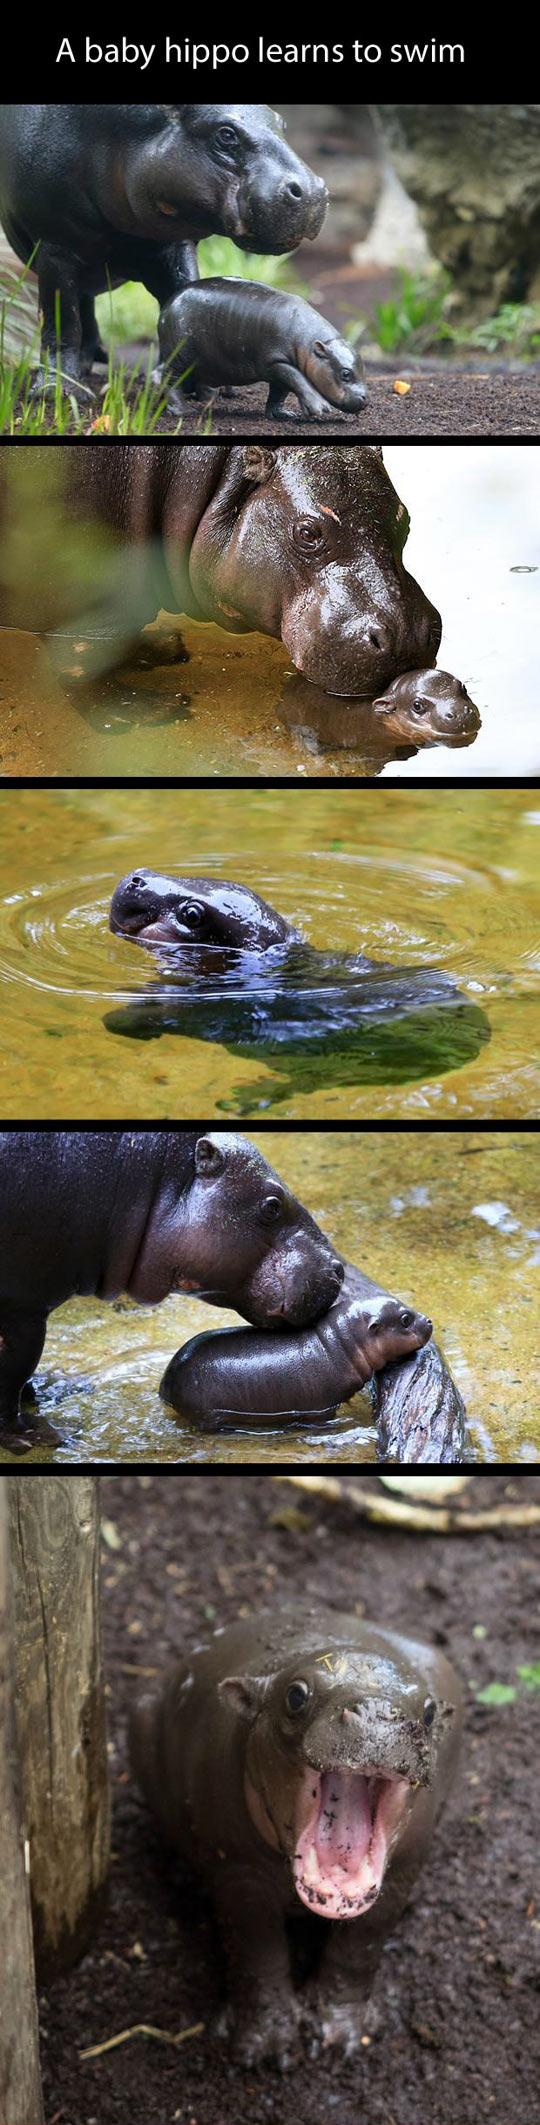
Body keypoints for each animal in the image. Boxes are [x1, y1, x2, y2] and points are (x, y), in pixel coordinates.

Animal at [0, 105, 327, 389]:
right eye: (226, 134)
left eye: (282, 124)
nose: (313, 191)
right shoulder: (55, 246)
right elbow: (62, 324)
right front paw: (55, 390)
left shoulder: (172, 245)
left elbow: (182, 299)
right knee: (79, 307)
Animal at [0, 443, 442, 698]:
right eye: (307, 532)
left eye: (405, 520)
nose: (405, 636)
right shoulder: (88, 613)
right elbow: (81, 674)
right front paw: (153, 710)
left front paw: (162, 649)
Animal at [129, 1607, 463, 2066]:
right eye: (296, 1696)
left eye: (429, 1711)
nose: (377, 1711)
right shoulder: (237, 1871)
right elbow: (258, 1952)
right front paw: (267, 2050)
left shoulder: (401, 1873)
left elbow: (359, 1948)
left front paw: (342, 2038)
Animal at [158, 279, 367, 420]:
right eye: (346, 373)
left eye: (363, 369)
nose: (365, 398)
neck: (308, 342)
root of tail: (168, 305)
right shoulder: (277, 361)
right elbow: (299, 380)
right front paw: (320, 409)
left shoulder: (278, 370)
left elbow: (279, 392)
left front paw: (283, 414)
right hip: (178, 358)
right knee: (171, 381)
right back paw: (184, 412)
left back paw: (209, 399)